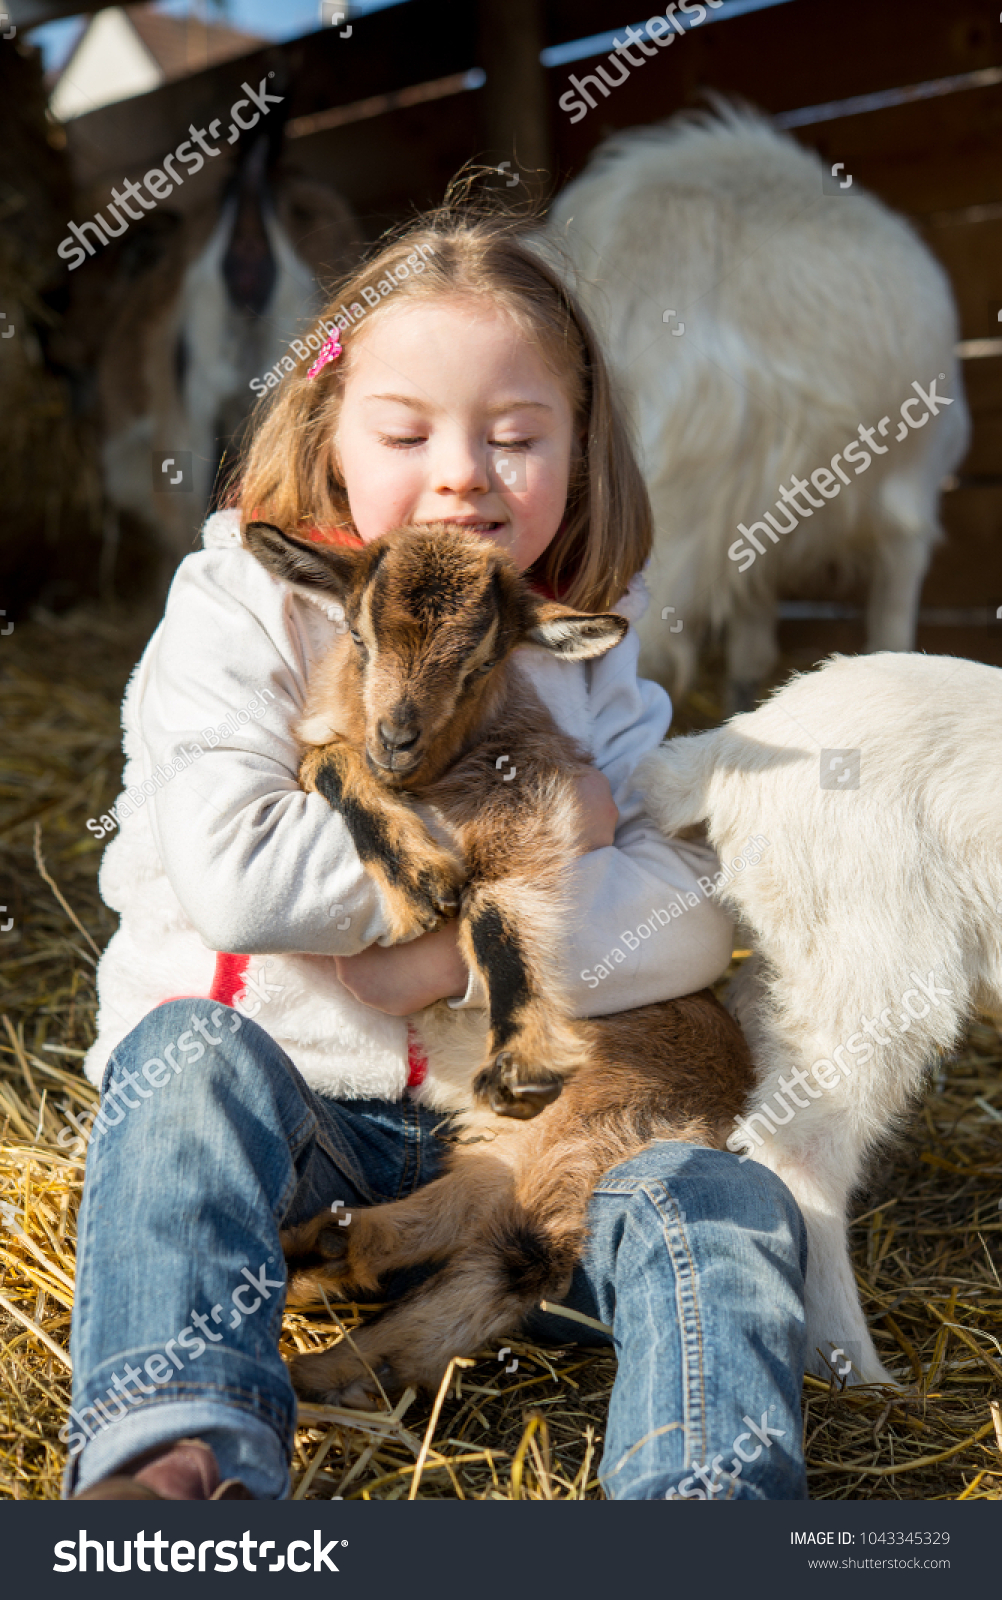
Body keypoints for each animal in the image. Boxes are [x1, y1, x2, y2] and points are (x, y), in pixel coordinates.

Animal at [246, 521, 752, 1401]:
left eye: (481, 663)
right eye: (357, 635)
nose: (397, 738)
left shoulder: (534, 812)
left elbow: (495, 909)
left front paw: (521, 1057)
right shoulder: (338, 746)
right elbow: (329, 761)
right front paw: (420, 880)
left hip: (597, 1121)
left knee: (510, 1252)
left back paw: (326, 1320)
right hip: (532, 1152)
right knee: (487, 1239)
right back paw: (328, 1299)